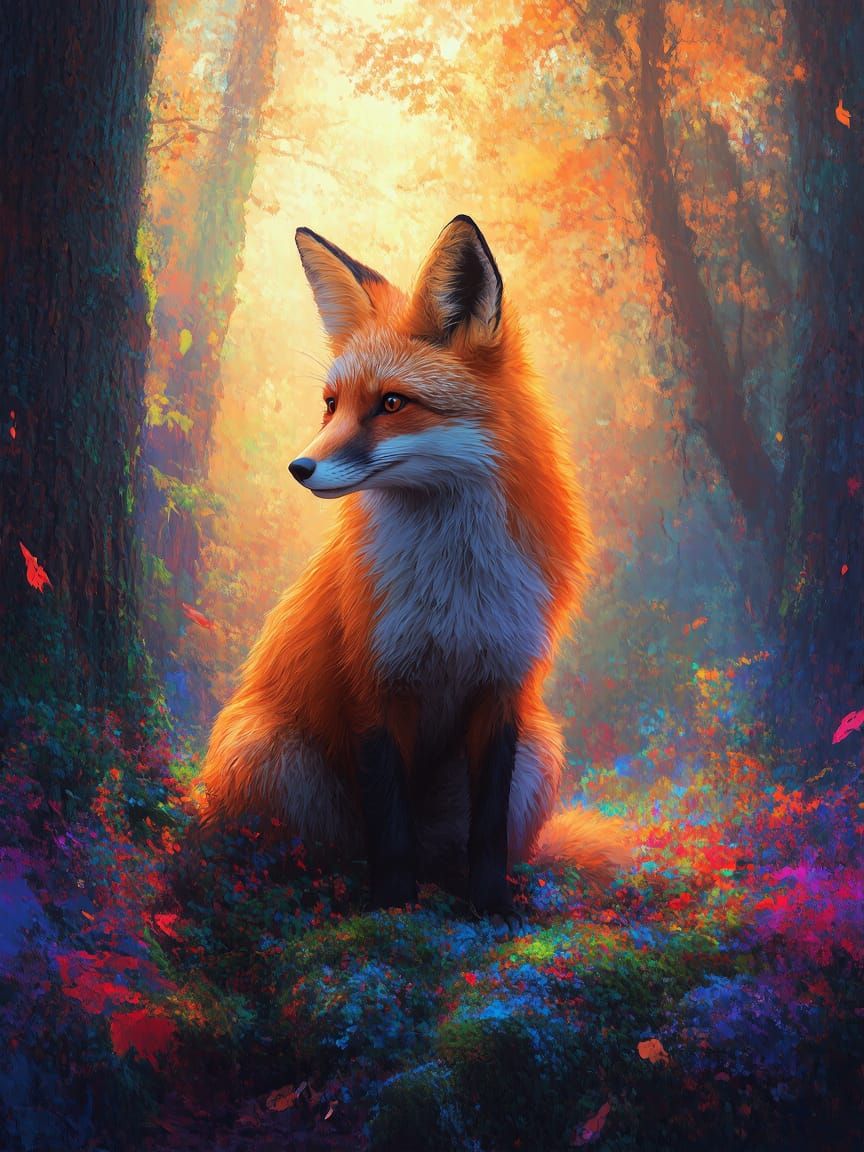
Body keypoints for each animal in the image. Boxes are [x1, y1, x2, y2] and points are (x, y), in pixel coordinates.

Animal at [198, 214, 632, 917]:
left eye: (393, 404)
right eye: (331, 404)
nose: (298, 468)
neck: (454, 586)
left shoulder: (502, 684)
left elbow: (487, 831)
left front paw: (490, 907)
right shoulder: (372, 681)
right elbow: (389, 823)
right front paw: (393, 909)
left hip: (542, 751)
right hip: (262, 751)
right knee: (311, 848)